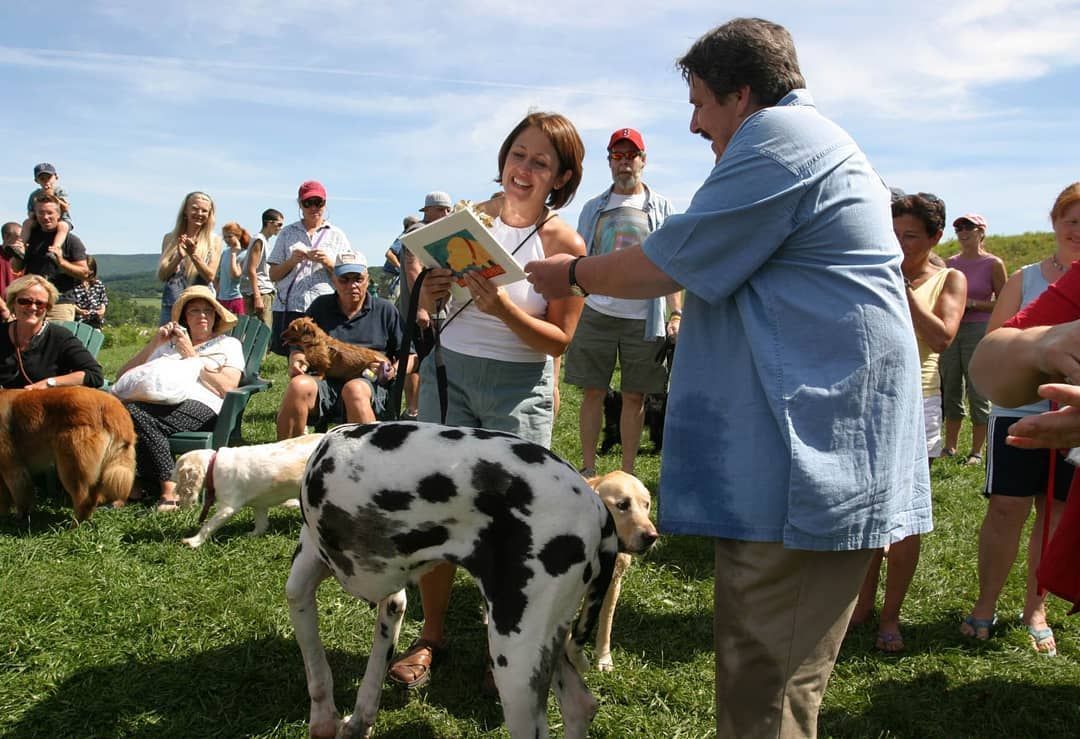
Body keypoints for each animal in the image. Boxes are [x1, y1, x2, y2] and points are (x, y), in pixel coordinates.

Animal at [0, 386, 135, 518]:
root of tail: (113, 406)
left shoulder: (12, 467)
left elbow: (19, 495)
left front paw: (17, 517)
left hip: (70, 465)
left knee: (83, 500)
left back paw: (74, 524)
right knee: (93, 499)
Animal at [170, 432, 324, 548]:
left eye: (177, 468)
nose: (169, 475)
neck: (212, 467)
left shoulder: (227, 508)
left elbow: (208, 526)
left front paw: (193, 541)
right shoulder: (260, 505)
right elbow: (261, 524)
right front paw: (253, 535)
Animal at [287, 421, 617, 739]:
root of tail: (598, 507)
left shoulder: (302, 583)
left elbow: (316, 670)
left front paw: (323, 723)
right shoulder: (391, 601)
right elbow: (370, 675)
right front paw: (358, 723)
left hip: (516, 667)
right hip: (547, 643)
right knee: (580, 705)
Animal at [583, 471, 656, 674]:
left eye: (646, 504)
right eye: (622, 505)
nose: (652, 537)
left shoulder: (612, 586)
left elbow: (605, 626)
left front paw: (603, 659)